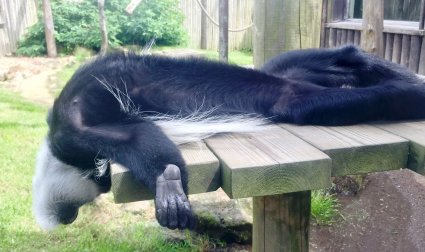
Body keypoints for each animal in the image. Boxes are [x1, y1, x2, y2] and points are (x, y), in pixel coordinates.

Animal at [32, 45, 424, 230]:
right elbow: (137, 135)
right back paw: (368, 68)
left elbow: (133, 140)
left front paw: (167, 186)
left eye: (100, 184)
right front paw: (168, 182)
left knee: (314, 89)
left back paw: (403, 85)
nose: (102, 182)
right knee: (315, 73)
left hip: (285, 88)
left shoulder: (72, 135)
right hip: (293, 78)